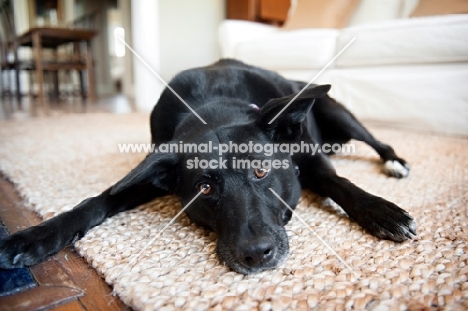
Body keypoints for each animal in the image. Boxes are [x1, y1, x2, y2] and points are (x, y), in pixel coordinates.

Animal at [0, 59, 416, 274]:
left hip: (338, 113)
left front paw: (382, 212)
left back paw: (395, 163)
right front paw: (34, 237)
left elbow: (341, 183)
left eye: (261, 172)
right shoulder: (152, 172)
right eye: (205, 188)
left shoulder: (313, 160)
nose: (257, 254)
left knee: (378, 142)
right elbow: (99, 200)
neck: (214, 106)